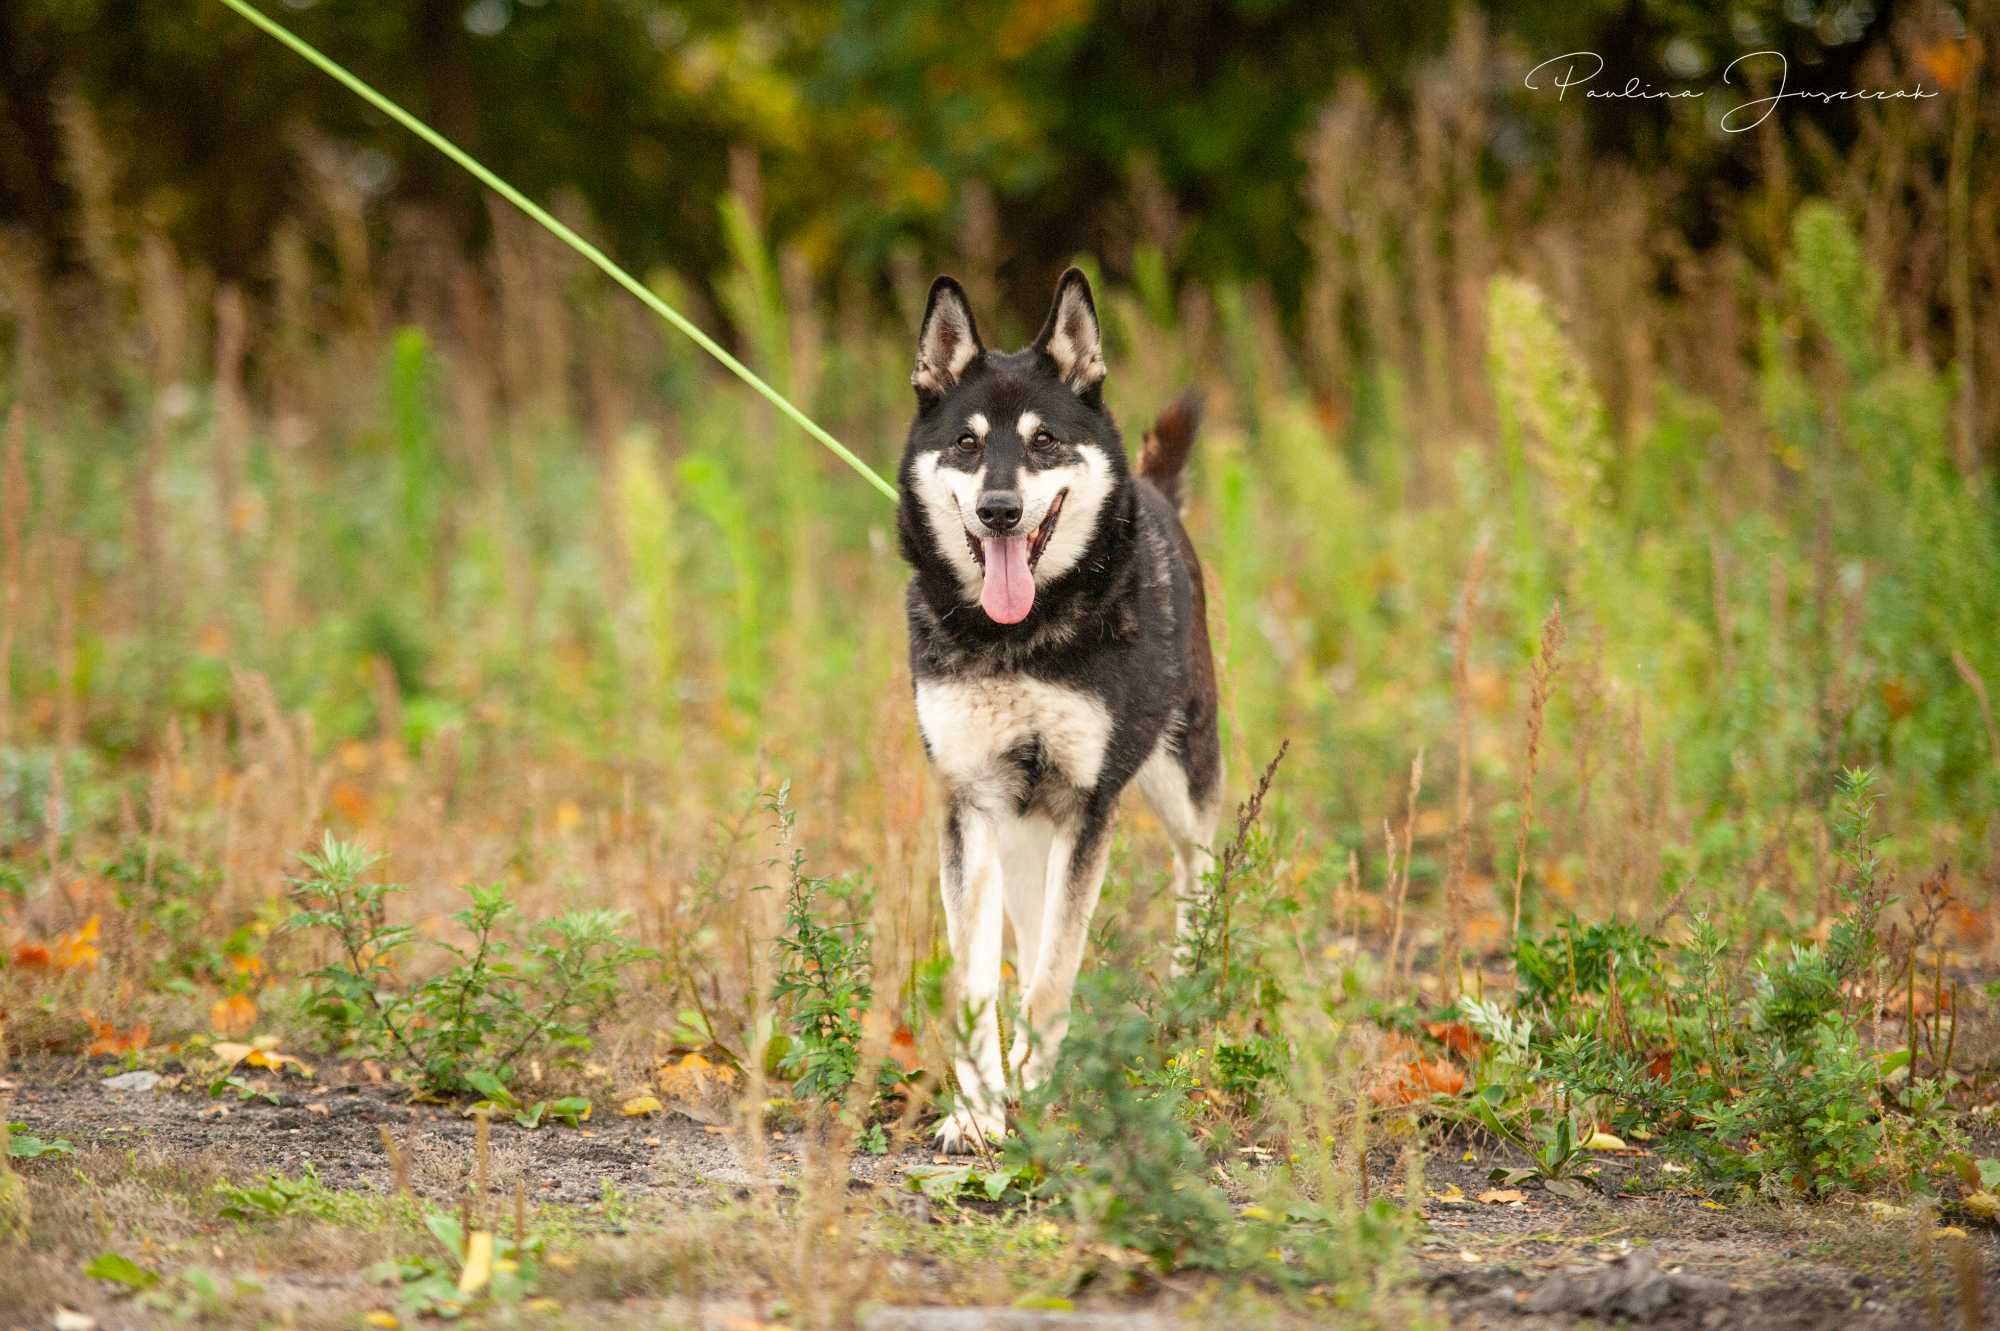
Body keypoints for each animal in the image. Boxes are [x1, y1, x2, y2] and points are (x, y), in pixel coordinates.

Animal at [896, 263, 1216, 1143]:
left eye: (1044, 441)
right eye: (967, 443)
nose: (1000, 510)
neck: (1019, 637)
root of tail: (1157, 489)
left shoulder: (1089, 800)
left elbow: (1051, 976)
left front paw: (1035, 1091)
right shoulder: (970, 801)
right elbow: (980, 982)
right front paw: (975, 1110)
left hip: (1178, 775)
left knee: (1200, 870)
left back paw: (1191, 994)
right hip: (1020, 830)